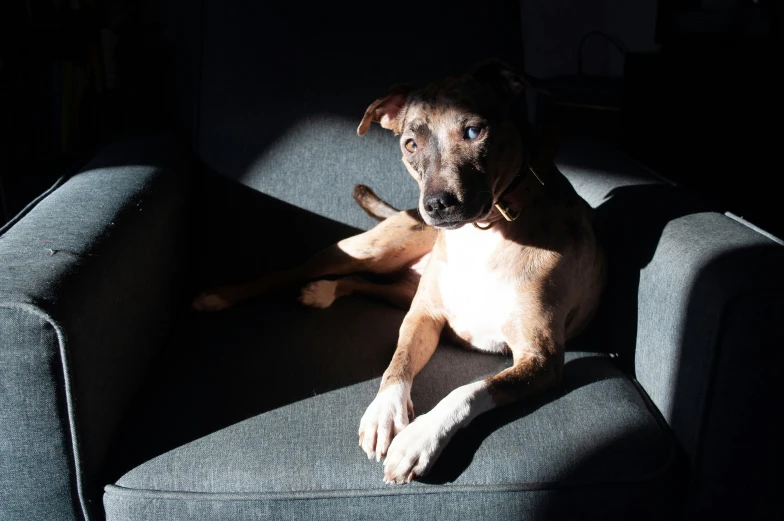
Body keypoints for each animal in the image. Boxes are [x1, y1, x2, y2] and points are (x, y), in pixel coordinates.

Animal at [191, 60, 608, 484]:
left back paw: (322, 291)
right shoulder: (424, 316)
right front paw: (384, 413)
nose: (436, 205)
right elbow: (399, 363)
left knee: (361, 283)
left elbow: (469, 389)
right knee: (290, 272)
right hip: (370, 252)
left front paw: (419, 438)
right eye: (410, 145)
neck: (483, 233)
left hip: (399, 287)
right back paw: (219, 296)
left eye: (474, 131)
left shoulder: (541, 359)